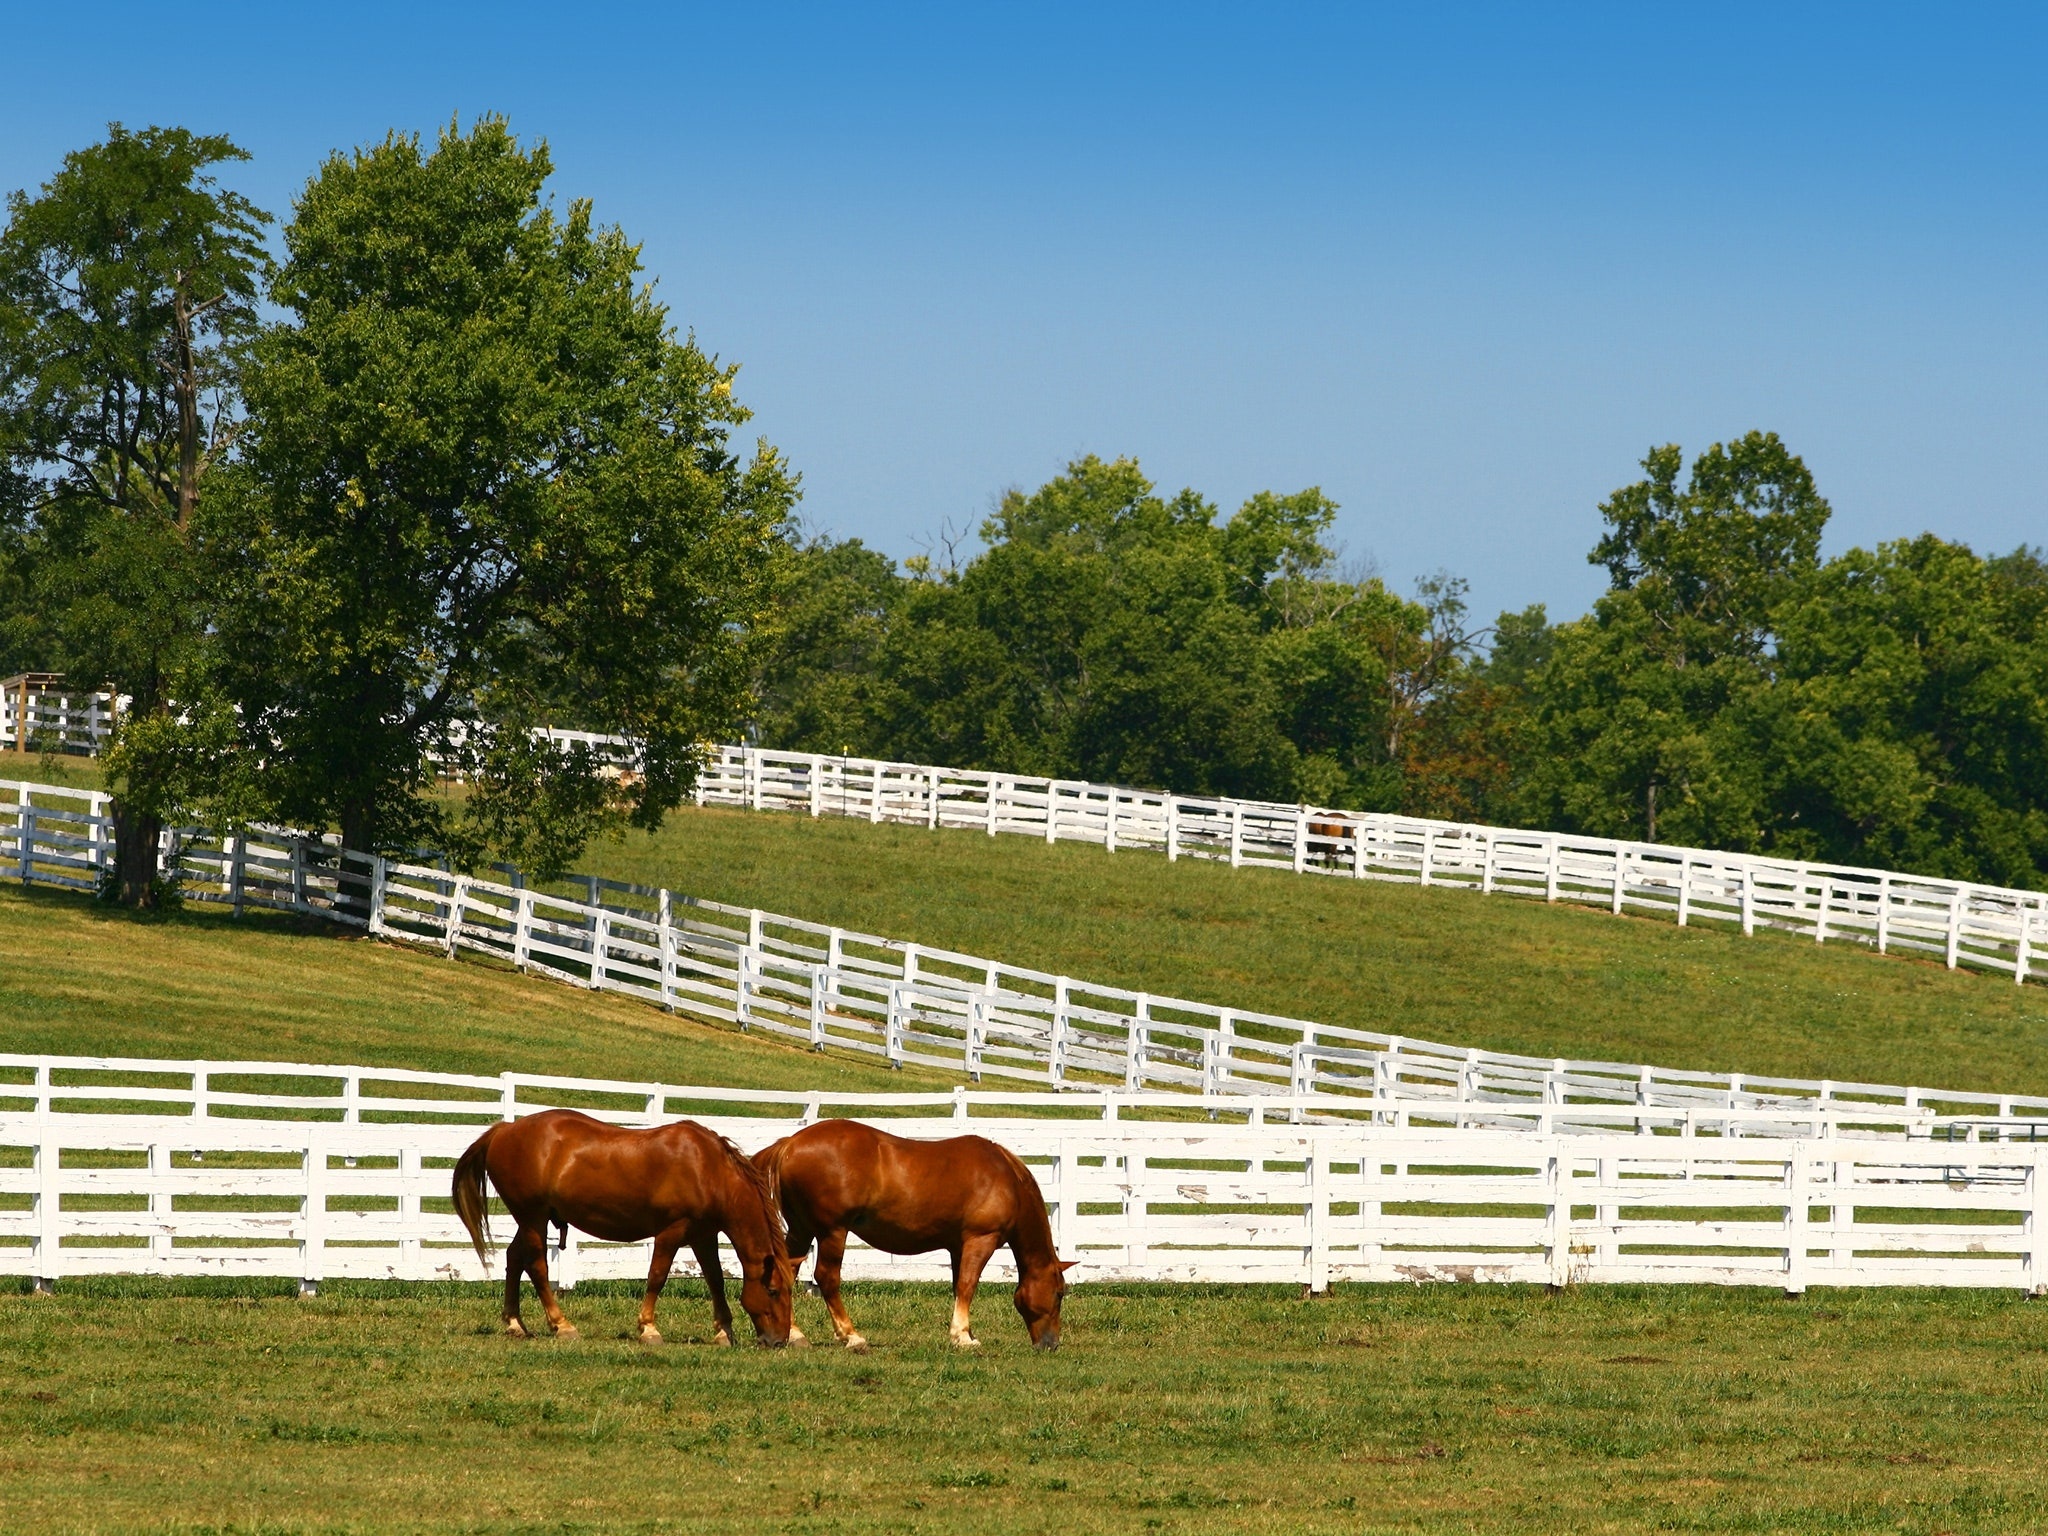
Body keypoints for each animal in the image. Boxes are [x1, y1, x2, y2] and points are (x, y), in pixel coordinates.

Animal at [456, 1122, 798, 1343]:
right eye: (772, 1291)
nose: (779, 1339)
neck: (708, 1169)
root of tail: (503, 1130)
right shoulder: (671, 1232)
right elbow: (657, 1275)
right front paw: (648, 1327)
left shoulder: (703, 1235)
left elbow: (715, 1279)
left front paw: (724, 1330)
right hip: (532, 1218)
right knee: (536, 1266)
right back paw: (561, 1324)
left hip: (530, 1220)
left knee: (514, 1259)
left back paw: (515, 1324)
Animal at [753, 1122, 1073, 1359]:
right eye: (1059, 1293)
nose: (1051, 1344)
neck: (1006, 1179)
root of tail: (790, 1143)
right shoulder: (980, 1241)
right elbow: (968, 1286)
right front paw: (963, 1337)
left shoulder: (957, 1247)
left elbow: (958, 1286)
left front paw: (965, 1332)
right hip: (833, 1232)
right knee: (827, 1278)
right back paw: (852, 1336)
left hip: (801, 1229)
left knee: (788, 1271)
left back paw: (794, 1334)